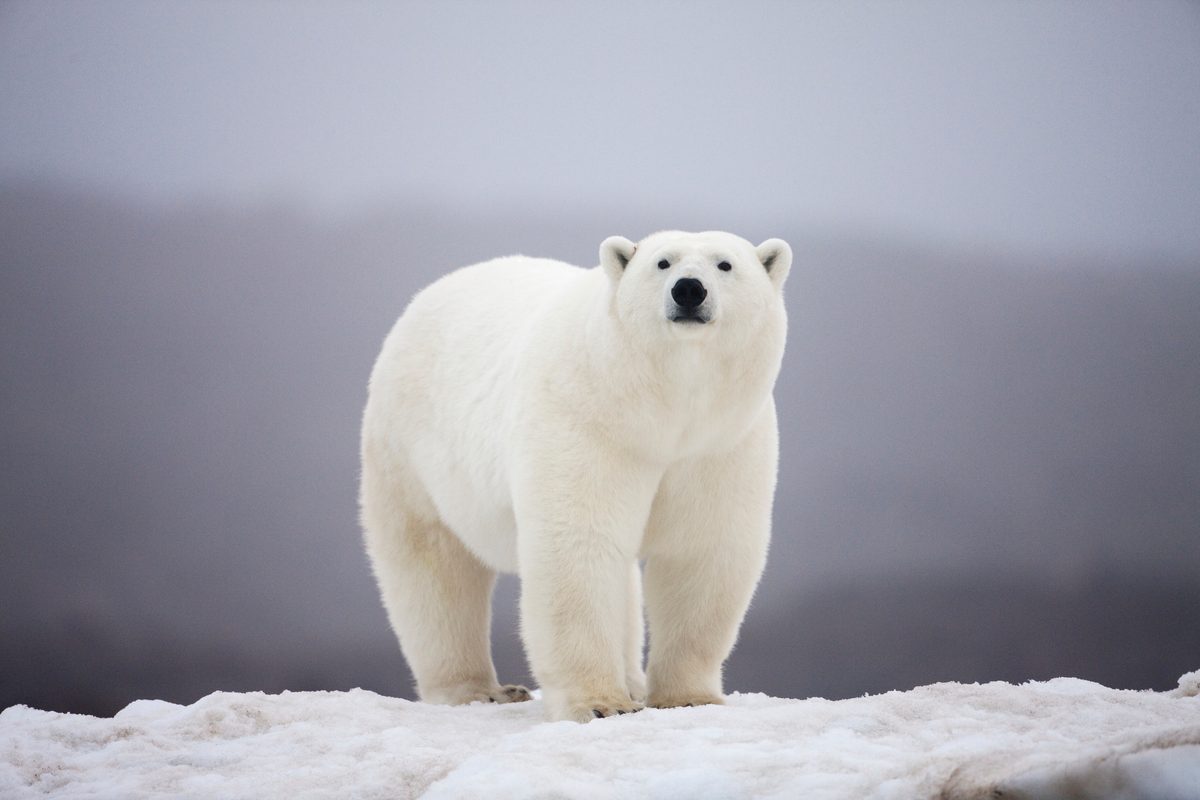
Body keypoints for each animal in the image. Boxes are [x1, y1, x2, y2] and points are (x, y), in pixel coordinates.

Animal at [359, 230, 791, 722]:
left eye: (725, 264)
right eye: (662, 263)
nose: (688, 290)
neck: (663, 410)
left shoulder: (720, 442)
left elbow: (700, 550)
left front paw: (687, 697)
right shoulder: (586, 417)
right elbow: (580, 544)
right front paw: (600, 704)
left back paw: (632, 681)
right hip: (410, 448)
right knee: (432, 564)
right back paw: (479, 689)